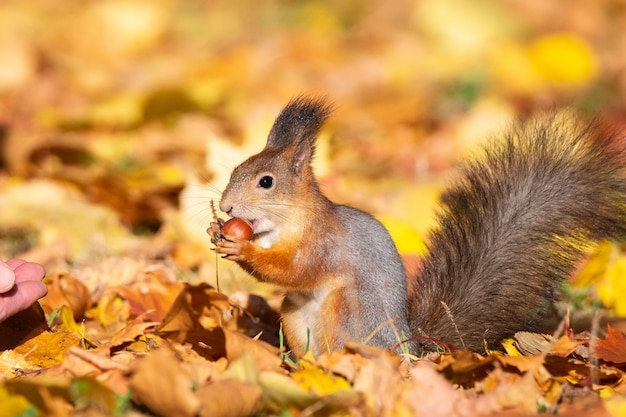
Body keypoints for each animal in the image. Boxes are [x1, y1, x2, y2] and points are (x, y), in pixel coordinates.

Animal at [210, 96, 624, 356]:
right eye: (235, 169)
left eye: (266, 182)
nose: (227, 206)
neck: (285, 223)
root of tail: (408, 348)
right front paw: (217, 233)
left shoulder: (322, 242)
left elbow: (295, 270)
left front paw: (240, 247)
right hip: (295, 317)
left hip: (345, 313)